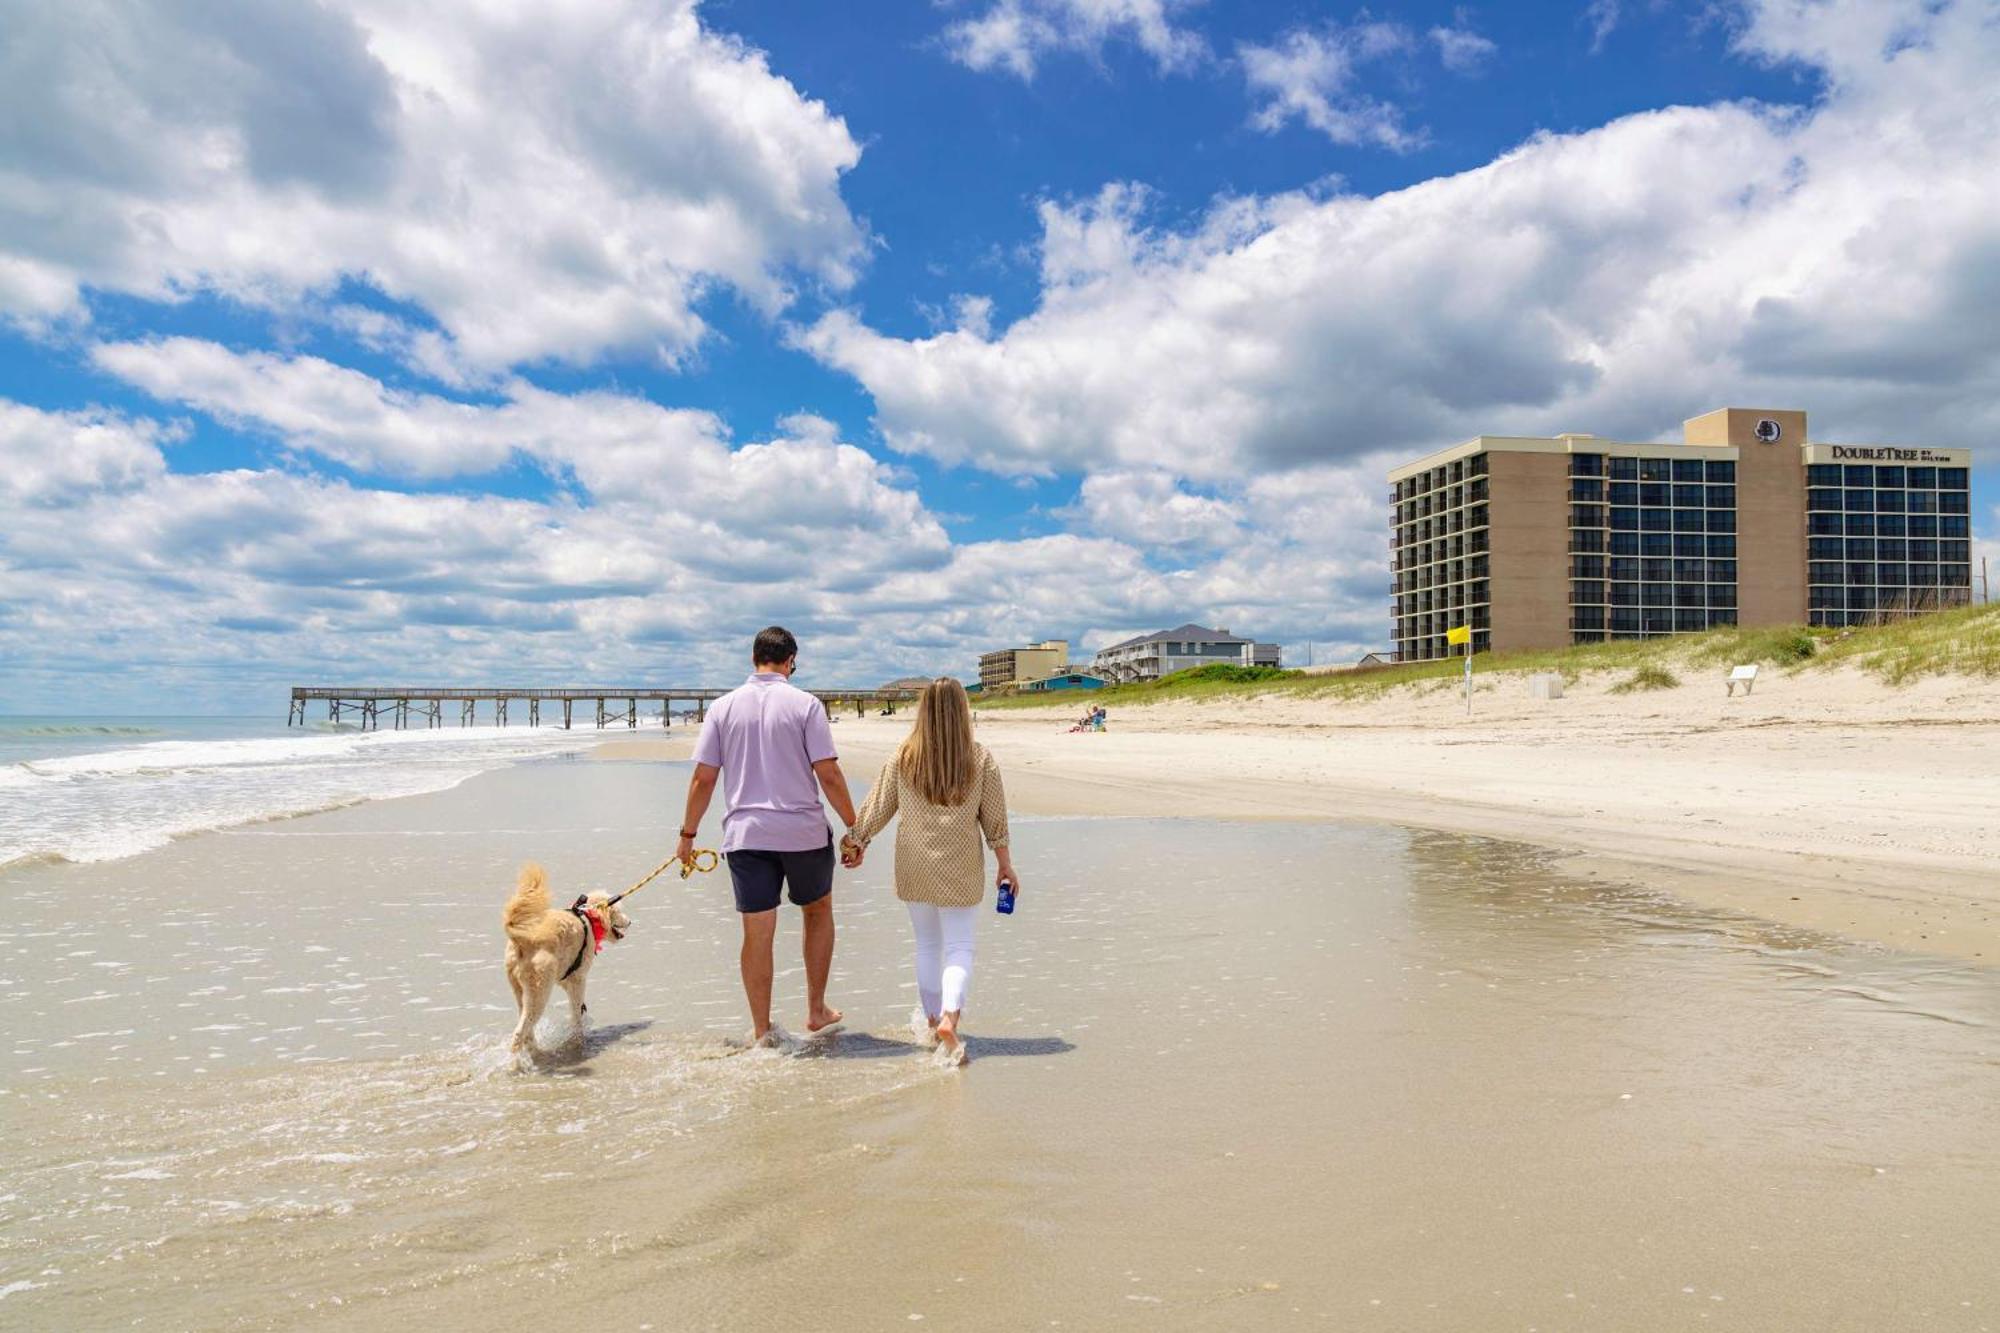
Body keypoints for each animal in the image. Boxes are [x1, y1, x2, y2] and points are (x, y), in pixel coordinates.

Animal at [498, 860, 624, 1048]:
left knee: (527, 1031)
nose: (630, 921)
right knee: (520, 1032)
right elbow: (577, 1012)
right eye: (619, 911)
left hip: (519, 989)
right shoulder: (578, 979)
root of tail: (521, 939)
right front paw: (578, 1038)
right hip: (538, 990)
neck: (588, 916)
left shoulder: (565, 977)